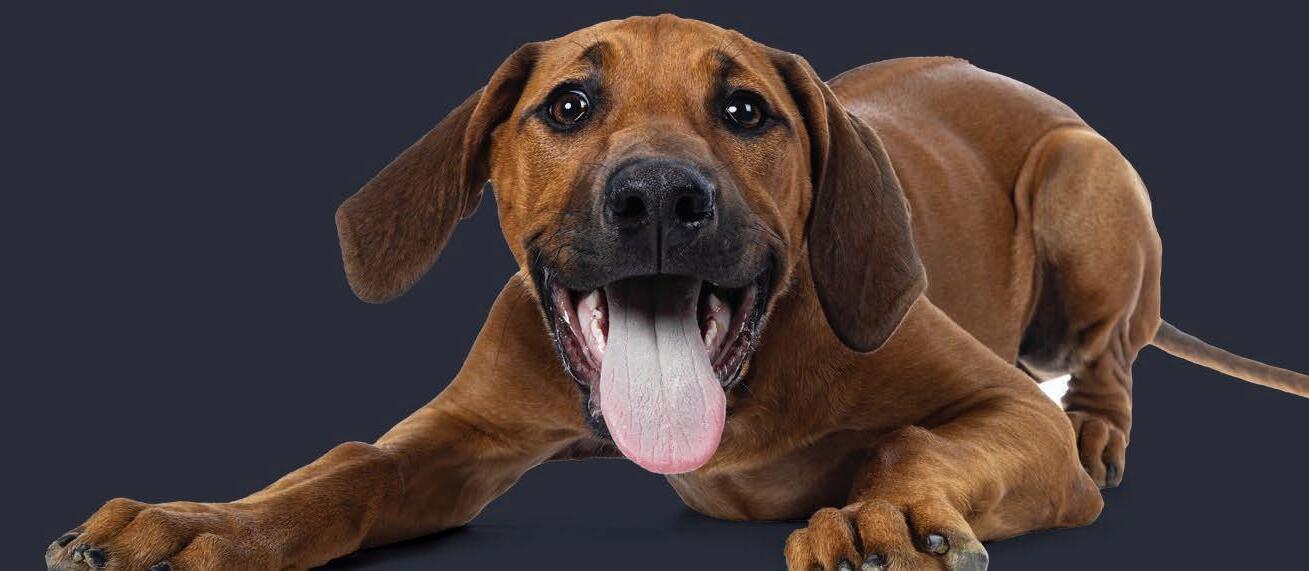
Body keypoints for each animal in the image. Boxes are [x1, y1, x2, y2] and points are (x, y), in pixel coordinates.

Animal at [45, 14, 1309, 571]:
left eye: (745, 109)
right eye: (567, 105)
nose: (657, 197)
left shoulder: (1002, 411)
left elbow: (916, 441)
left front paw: (885, 512)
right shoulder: (452, 437)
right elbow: (342, 472)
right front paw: (201, 520)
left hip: (1085, 182)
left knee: (1106, 364)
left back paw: (1098, 433)